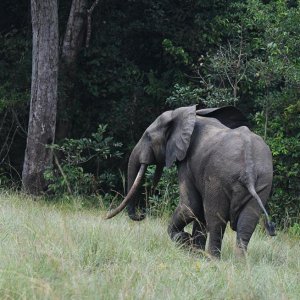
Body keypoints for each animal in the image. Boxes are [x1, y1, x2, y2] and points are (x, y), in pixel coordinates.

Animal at [106, 105, 276, 258]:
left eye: (148, 136)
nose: (142, 214)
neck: (189, 116)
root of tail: (249, 169)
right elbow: (198, 212)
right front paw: (195, 252)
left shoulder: (187, 164)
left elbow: (191, 206)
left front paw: (186, 242)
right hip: (264, 180)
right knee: (247, 223)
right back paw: (240, 263)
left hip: (218, 177)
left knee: (215, 219)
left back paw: (212, 259)